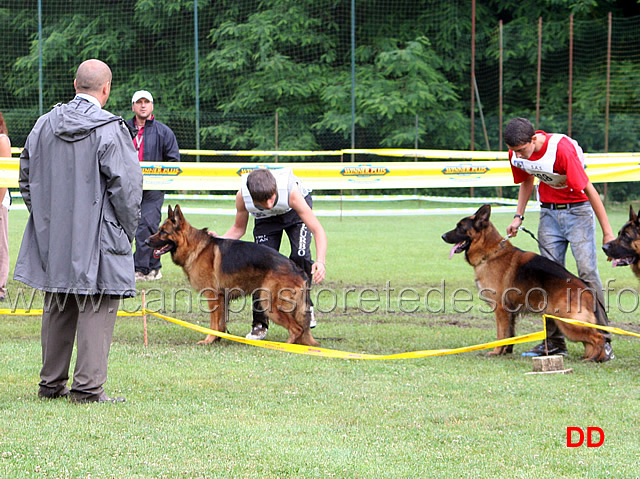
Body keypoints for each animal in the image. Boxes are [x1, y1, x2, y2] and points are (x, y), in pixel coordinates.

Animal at [144, 204, 316, 346]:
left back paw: (286, 346)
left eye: (163, 232)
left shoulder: (213, 297)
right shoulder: (222, 298)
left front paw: (208, 340)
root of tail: (297, 269)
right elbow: (220, 324)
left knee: (297, 329)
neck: (194, 247)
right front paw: (218, 339)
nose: (145, 242)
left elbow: (213, 323)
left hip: (270, 305)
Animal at [442, 204, 608, 362]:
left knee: (598, 337)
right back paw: (591, 356)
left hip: (568, 323)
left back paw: (596, 357)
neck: (489, 253)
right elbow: (510, 334)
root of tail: (587, 289)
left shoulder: (500, 309)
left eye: (460, 227)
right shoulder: (510, 312)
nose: (442, 236)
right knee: (591, 340)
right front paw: (506, 351)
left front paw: (496, 352)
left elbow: (501, 334)